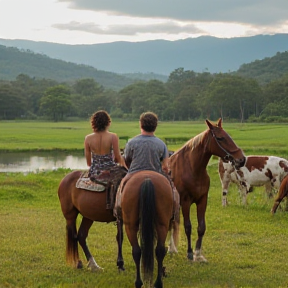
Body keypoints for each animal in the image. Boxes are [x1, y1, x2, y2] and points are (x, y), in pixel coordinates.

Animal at [169, 118, 245, 260]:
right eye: (220, 138)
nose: (241, 159)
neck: (192, 169)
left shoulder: (202, 200)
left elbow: (201, 227)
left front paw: (198, 254)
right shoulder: (185, 201)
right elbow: (188, 227)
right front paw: (189, 253)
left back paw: (171, 249)